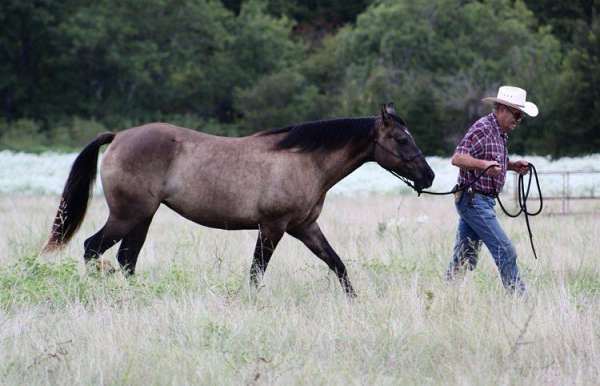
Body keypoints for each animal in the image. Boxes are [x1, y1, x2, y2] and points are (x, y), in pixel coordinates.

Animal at [44, 104, 434, 298]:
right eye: (401, 139)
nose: (428, 177)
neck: (304, 160)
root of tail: (119, 136)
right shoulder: (273, 227)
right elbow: (256, 272)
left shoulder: (305, 227)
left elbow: (337, 264)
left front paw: (354, 301)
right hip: (127, 215)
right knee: (93, 248)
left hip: (143, 217)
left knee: (126, 259)